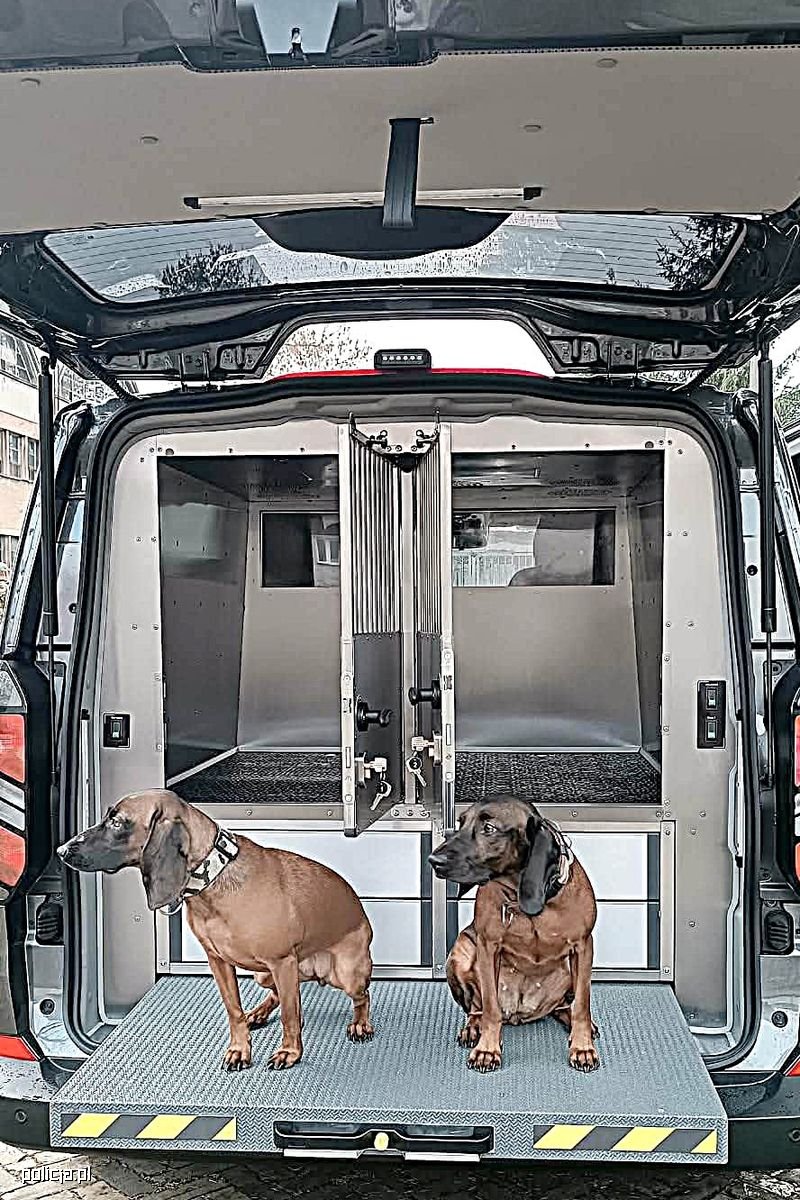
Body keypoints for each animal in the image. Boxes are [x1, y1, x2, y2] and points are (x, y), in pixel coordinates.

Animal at [57, 789, 374, 1071]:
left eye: (118, 822)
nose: (61, 850)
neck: (213, 880)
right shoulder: (218, 961)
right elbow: (235, 1010)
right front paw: (240, 1050)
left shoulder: (281, 960)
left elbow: (289, 1015)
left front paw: (289, 1052)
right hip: (264, 975)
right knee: (278, 996)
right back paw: (258, 1013)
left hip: (344, 974)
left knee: (361, 997)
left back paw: (360, 1025)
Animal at [429, 797, 599, 1074]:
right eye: (461, 823)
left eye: (489, 828)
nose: (434, 859)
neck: (523, 901)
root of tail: (521, 1015)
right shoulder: (487, 947)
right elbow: (490, 1008)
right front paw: (487, 1050)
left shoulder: (583, 946)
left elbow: (582, 1005)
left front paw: (583, 1047)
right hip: (459, 953)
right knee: (476, 1008)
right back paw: (472, 1028)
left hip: (567, 971)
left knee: (565, 1006)